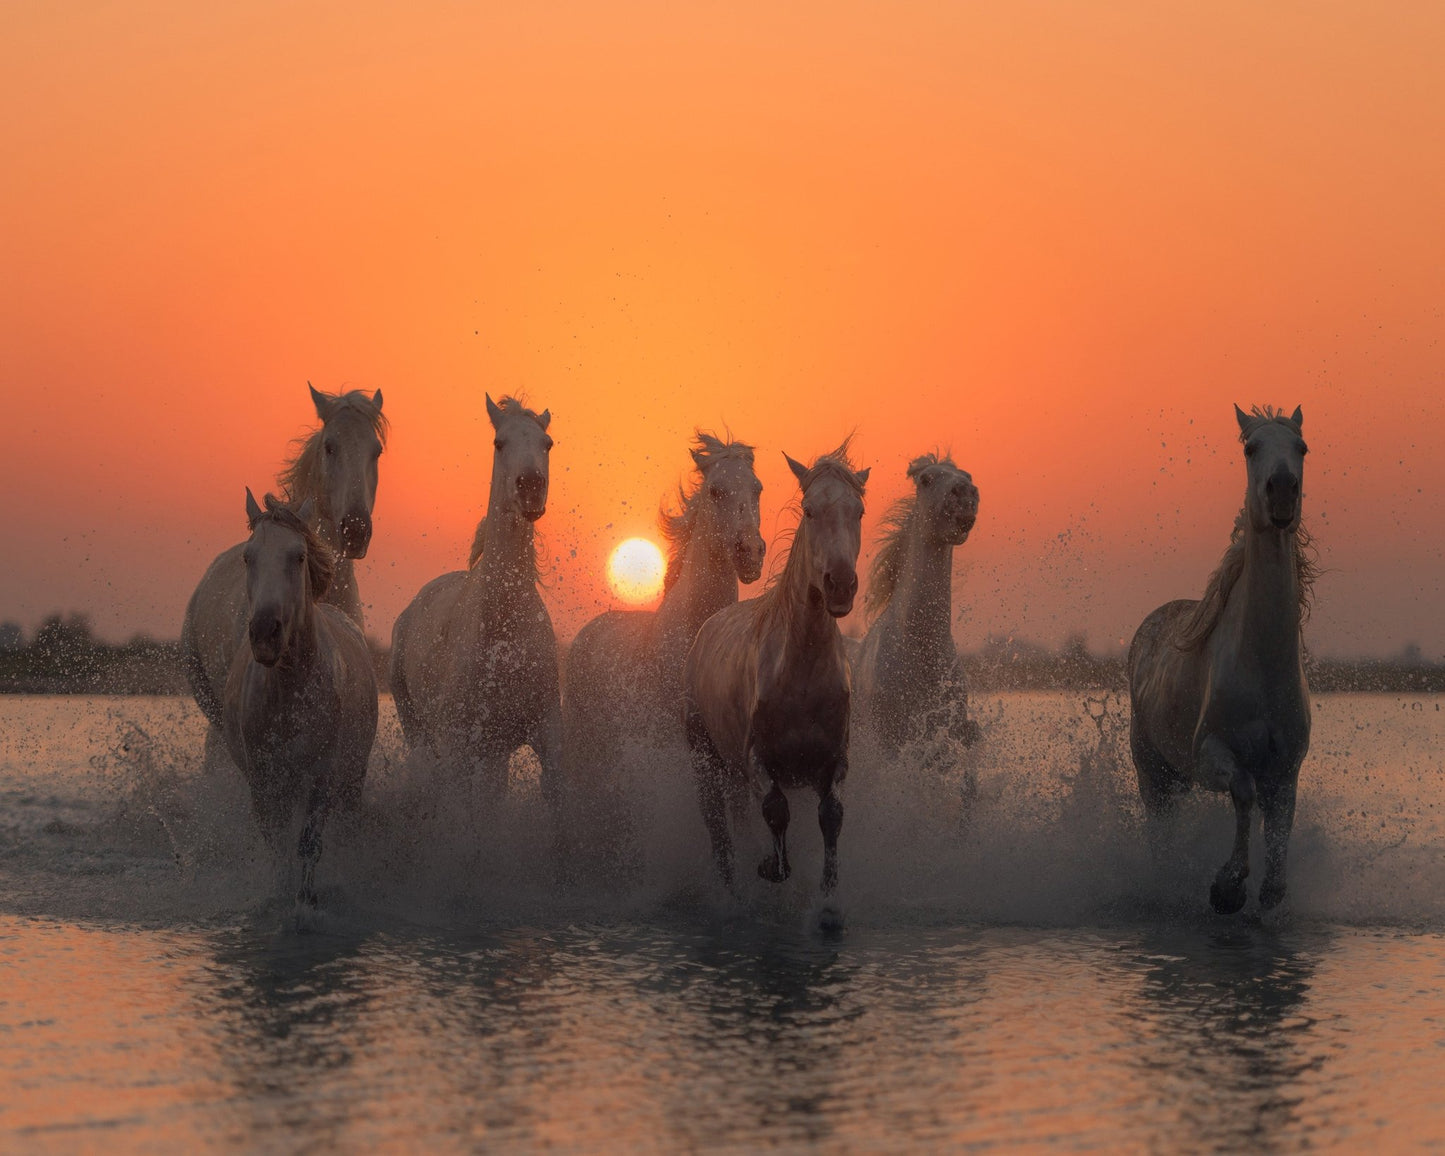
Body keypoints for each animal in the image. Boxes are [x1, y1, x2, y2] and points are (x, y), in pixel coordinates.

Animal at [222, 490, 379, 907]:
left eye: (299, 556)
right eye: (248, 557)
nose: (265, 632)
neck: (291, 690)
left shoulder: (322, 776)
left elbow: (309, 844)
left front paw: (306, 904)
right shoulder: (265, 780)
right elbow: (278, 845)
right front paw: (281, 897)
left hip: (352, 778)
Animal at [389, 395, 561, 811]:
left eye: (548, 444)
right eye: (499, 443)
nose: (531, 487)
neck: (504, 629)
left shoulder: (548, 738)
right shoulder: (457, 748)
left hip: (491, 753)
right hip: (421, 734)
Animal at [562, 433, 765, 831]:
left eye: (757, 488)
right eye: (715, 490)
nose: (750, 552)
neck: (696, 634)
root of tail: (583, 637)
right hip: (588, 750)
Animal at [682, 442, 869, 916]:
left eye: (858, 510)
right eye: (808, 510)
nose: (840, 584)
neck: (800, 675)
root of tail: (706, 628)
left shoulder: (833, 761)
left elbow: (832, 817)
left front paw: (827, 899)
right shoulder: (758, 759)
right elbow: (775, 809)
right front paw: (770, 867)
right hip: (706, 760)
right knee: (719, 830)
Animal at [1127, 405, 1314, 914]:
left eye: (1302, 447)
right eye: (1251, 448)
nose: (1282, 490)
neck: (1262, 666)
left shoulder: (1286, 768)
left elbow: (1281, 825)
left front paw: (1269, 890)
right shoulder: (1211, 753)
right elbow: (1243, 793)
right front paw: (1227, 888)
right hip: (1153, 771)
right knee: (1160, 830)